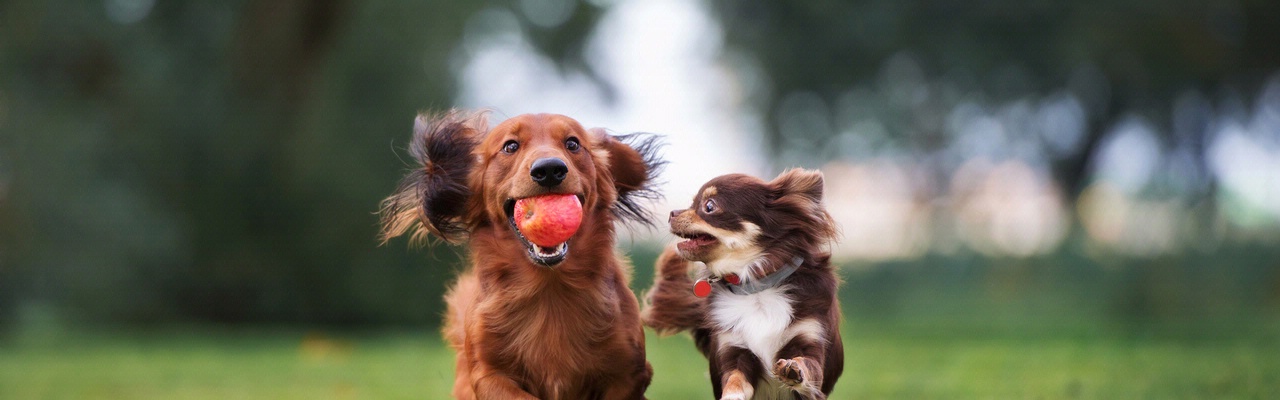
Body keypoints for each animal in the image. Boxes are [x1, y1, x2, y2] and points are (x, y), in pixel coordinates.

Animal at [378, 110, 660, 400]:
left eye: (572, 143)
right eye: (510, 146)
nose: (549, 170)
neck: (549, 289)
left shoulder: (630, 372)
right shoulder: (487, 374)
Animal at [645, 169, 844, 400]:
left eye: (709, 206)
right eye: (692, 203)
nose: (672, 213)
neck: (755, 287)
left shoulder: (809, 341)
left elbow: (807, 365)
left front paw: (794, 370)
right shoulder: (735, 351)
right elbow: (734, 379)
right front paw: (731, 395)